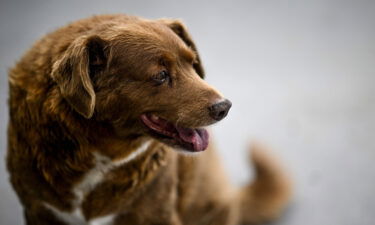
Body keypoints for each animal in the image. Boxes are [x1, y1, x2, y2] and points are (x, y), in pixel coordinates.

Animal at [7, 14, 292, 225]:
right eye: (161, 75)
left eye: (193, 63)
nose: (224, 107)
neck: (99, 152)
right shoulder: (37, 209)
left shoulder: (156, 213)